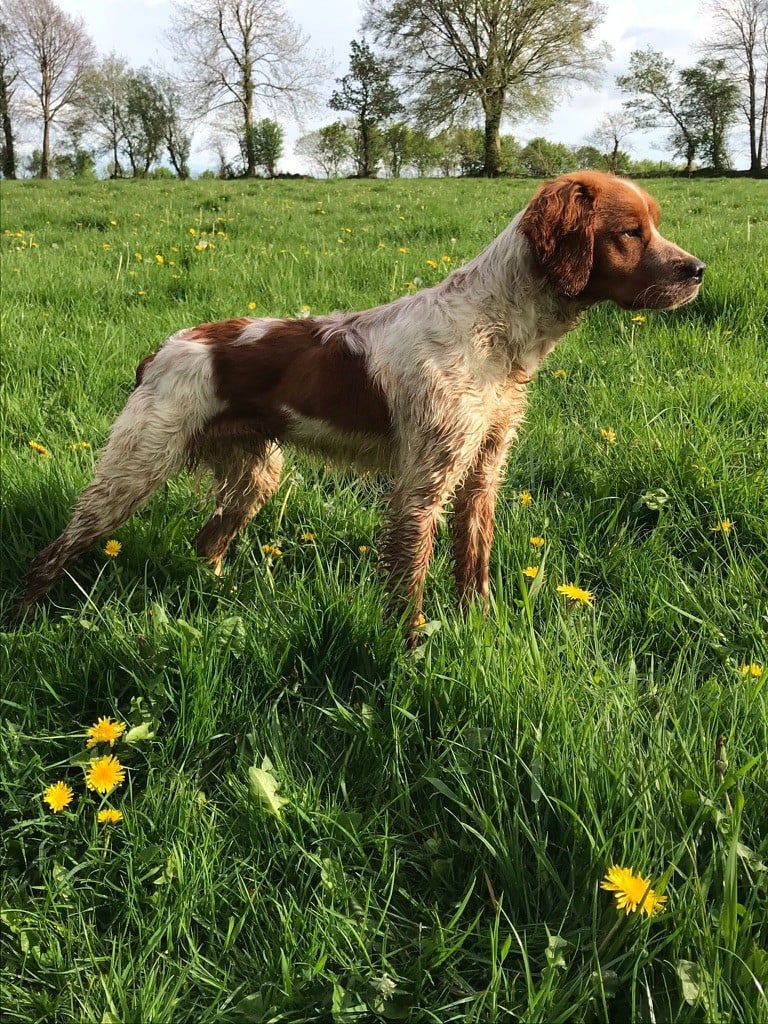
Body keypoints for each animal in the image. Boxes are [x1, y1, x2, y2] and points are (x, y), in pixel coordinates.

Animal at [20, 169, 708, 630]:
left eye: (655, 226)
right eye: (630, 231)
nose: (698, 270)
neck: (493, 326)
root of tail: (161, 349)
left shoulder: (482, 468)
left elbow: (474, 566)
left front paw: (481, 631)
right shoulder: (422, 482)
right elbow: (409, 587)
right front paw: (411, 656)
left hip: (256, 473)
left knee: (207, 542)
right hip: (133, 468)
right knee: (54, 549)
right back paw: (25, 617)